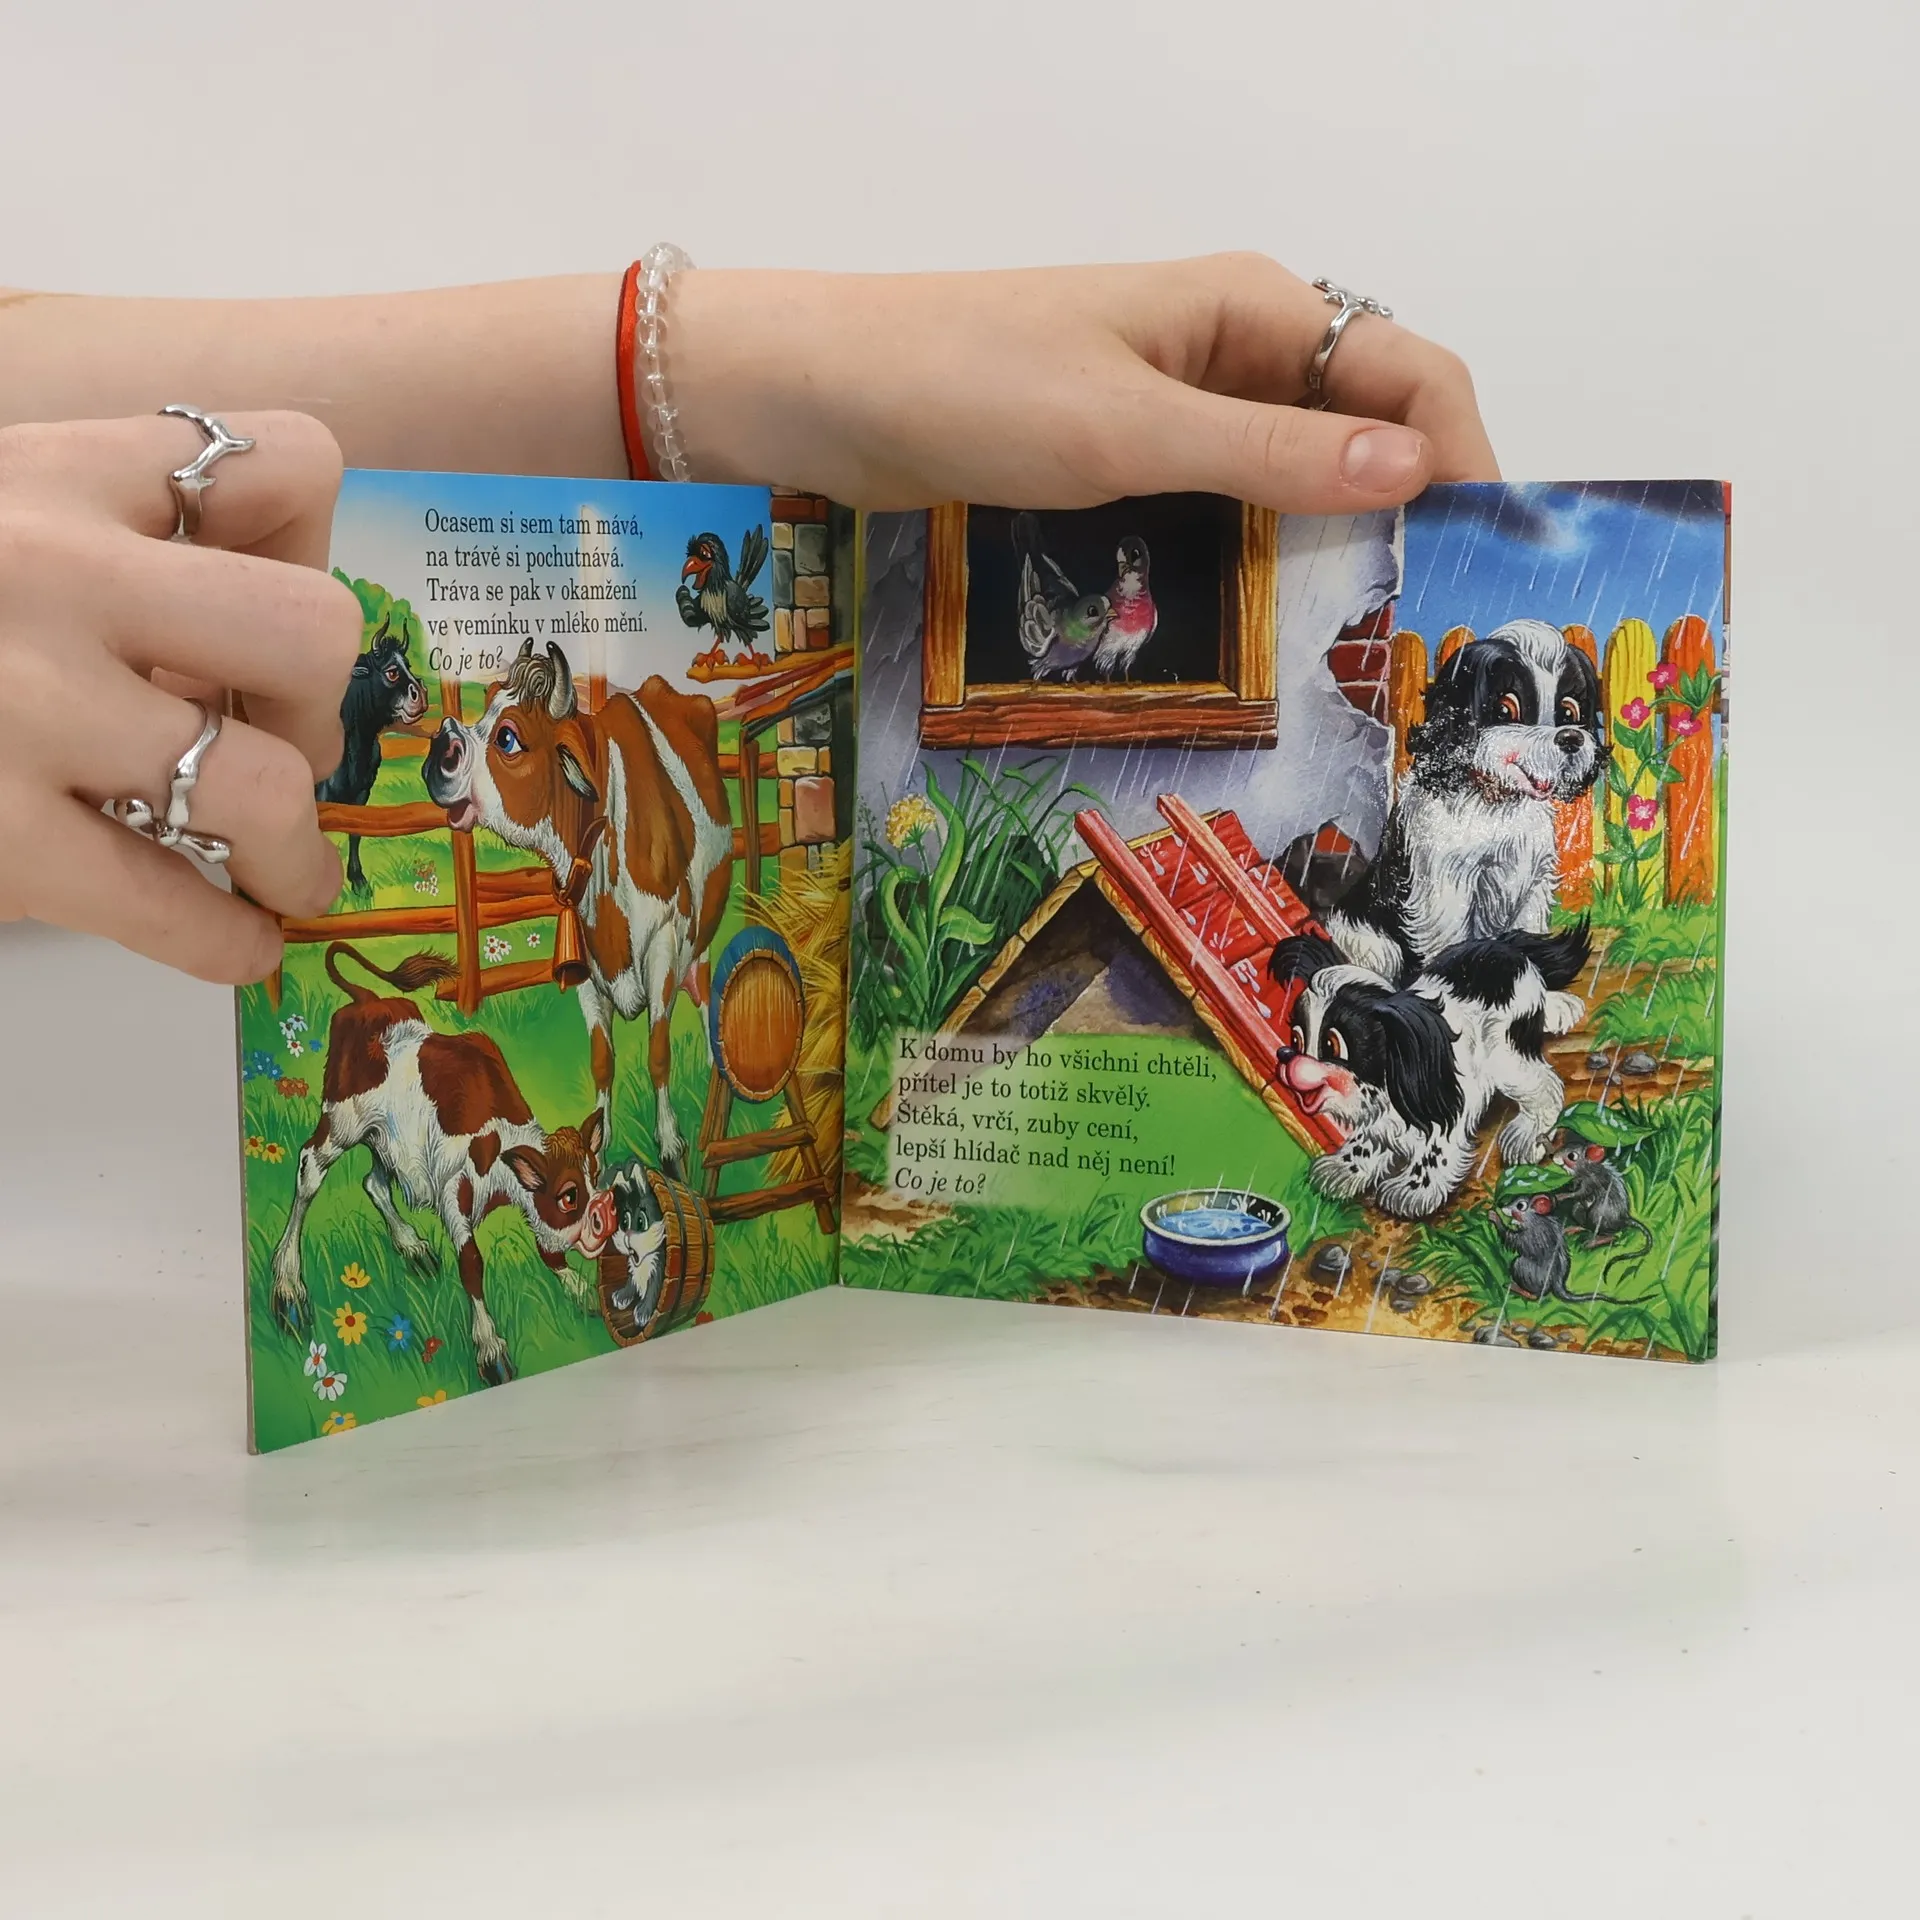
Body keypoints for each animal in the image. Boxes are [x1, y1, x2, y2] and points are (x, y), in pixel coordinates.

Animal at [270, 942, 617, 1386]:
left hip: (389, 1140)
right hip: (344, 1122)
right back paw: (288, 1289)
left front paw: (583, 1291)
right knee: (309, 1170)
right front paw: (490, 1350)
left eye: (596, 1176)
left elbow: (548, 1252)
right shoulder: (453, 1190)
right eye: (569, 1195)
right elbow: (472, 1264)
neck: (500, 1143)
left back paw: (413, 1247)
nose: (606, 1212)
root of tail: (367, 1000)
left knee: (374, 1182)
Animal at [422, 640, 733, 1179]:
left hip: (698, 940)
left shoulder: (665, 944)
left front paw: (671, 1148)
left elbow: (658, 1051)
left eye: (507, 737)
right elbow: (601, 1059)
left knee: (702, 993)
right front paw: (599, 1145)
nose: (438, 751)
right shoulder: (586, 966)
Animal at [1270, 921, 1591, 1220]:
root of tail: (1510, 948)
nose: (1285, 1055)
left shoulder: (1447, 1110)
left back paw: (1526, 1136)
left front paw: (1412, 1192)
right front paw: (1344, 1168)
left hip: (1507, 1058)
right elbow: (1367, 1141)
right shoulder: (1380, 1120)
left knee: (1545, 1087)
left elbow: (1434, 1152)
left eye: (1332, 1044)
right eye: (1296, 1039)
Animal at [1322, 619, 1607, 983]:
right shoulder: (1445, 886)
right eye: (1506, 709)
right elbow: (1447, 941)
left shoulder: (1533, 884)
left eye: (1570, 711)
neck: (1495, 805)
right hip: (1366, 937)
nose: (1571, 738)